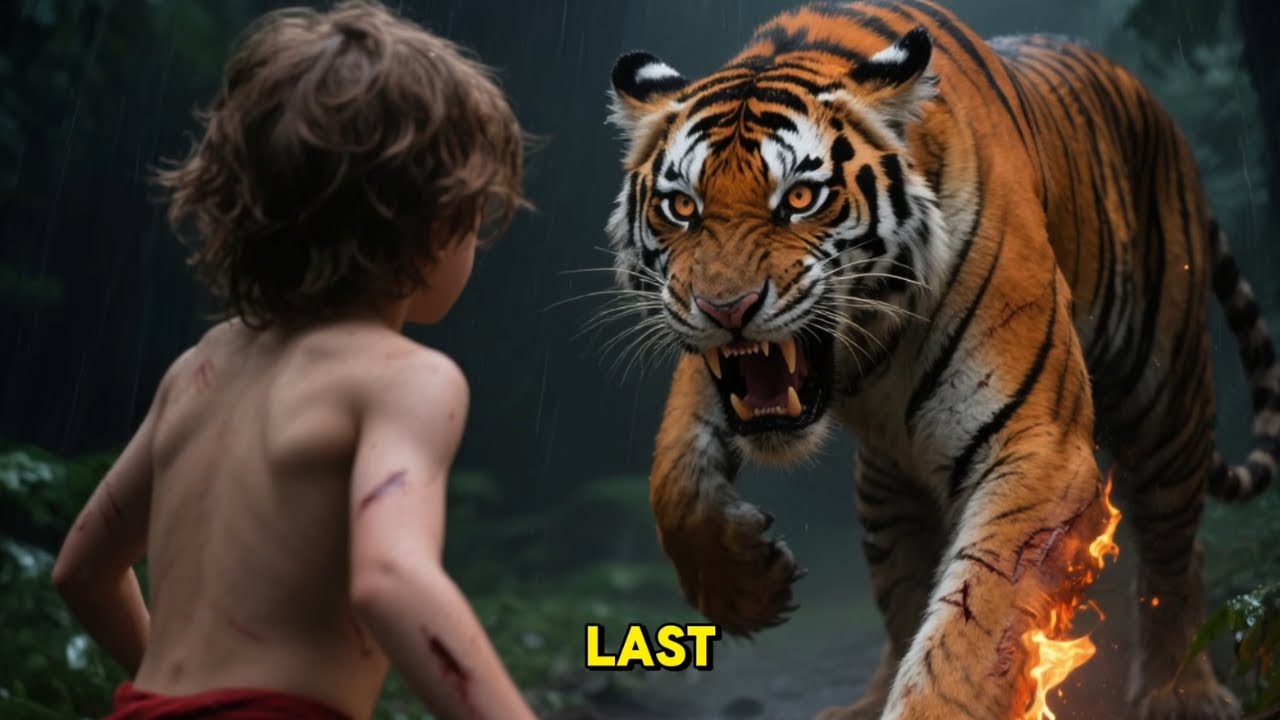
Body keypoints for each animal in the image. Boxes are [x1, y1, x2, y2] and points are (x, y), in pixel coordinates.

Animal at [601, 1, 1279, 719]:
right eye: (681, 207)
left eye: (801, 199)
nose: (726, 309)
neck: (869, 342)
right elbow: (675, 475)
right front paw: (745, 586)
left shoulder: (1038, 446)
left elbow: (974, 632)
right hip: (884, 490)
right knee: (900, 601)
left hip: (1167, 396)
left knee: (1177, 548)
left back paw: (1183, 692)